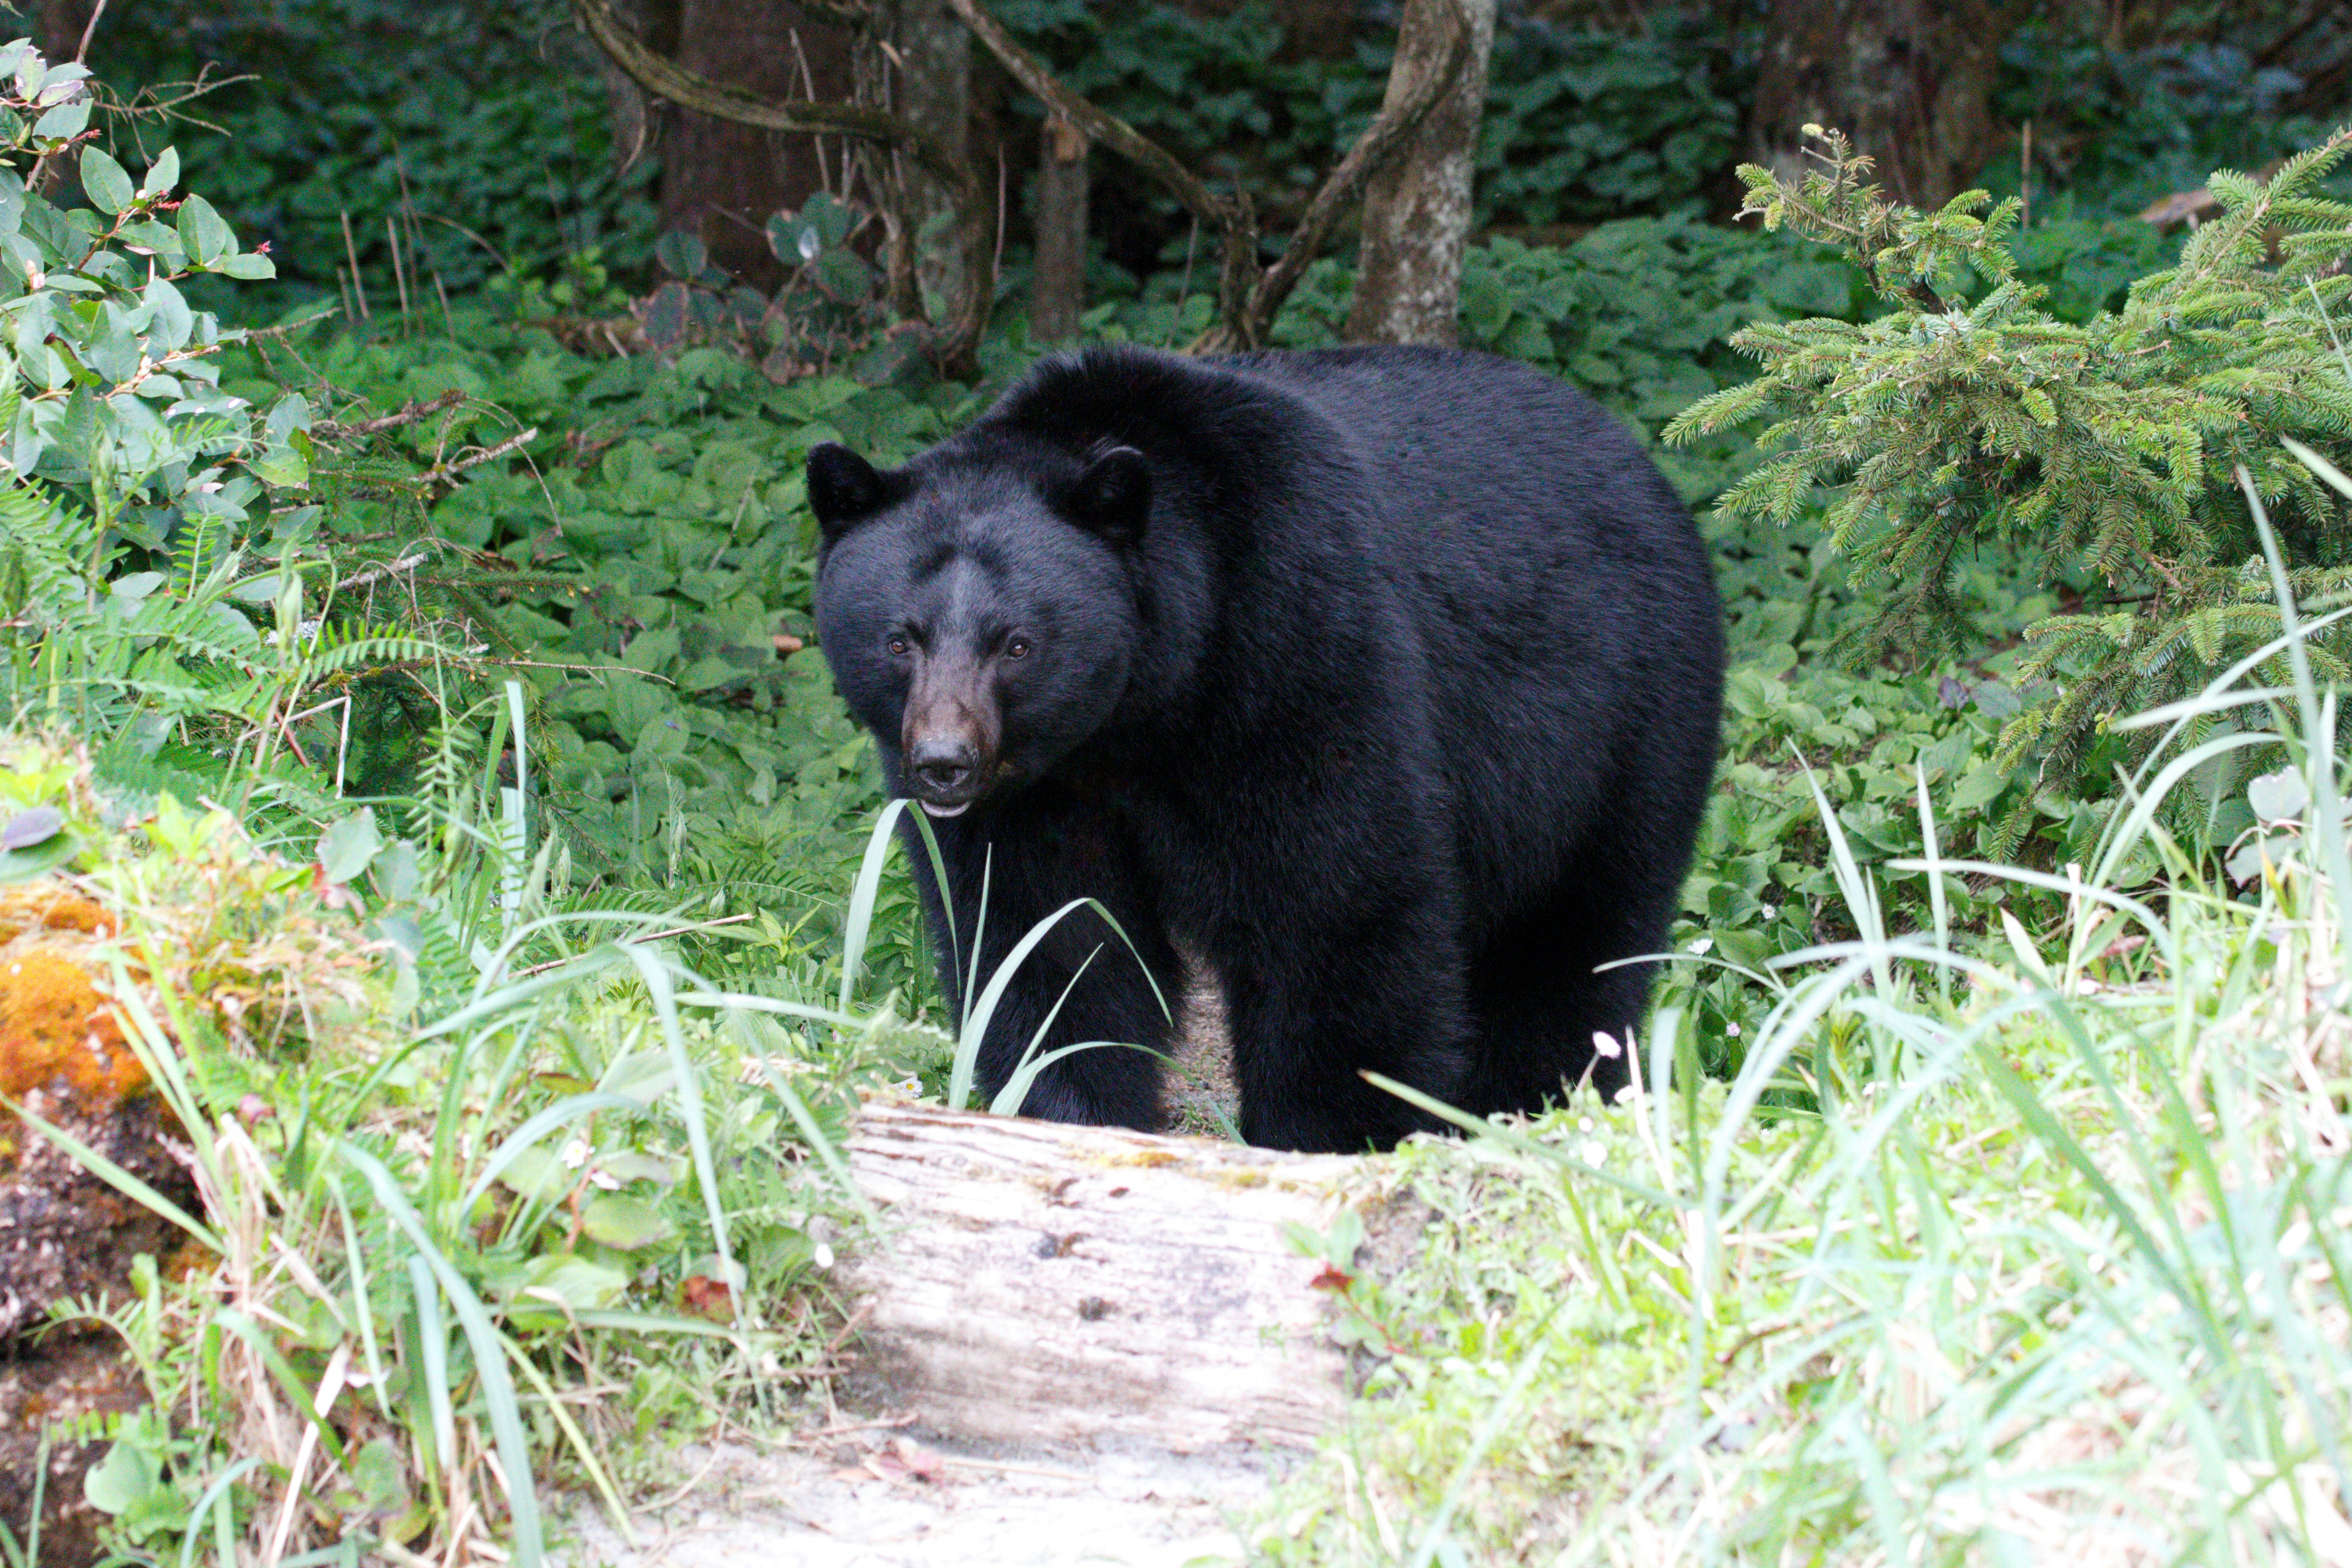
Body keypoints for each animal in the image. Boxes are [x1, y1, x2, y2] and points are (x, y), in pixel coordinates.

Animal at [808, 343, 1723, 1153]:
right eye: (899, 639)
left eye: (1017, 643)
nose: (944, 762)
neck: (1138, 711)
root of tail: (1640, 459)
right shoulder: (1041, 791)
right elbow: (1046, 934)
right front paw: (1065, 1109)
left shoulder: (1293, 643)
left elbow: (1335, 902)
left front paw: (1330, 1133)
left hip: (1620, 714)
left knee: (1575, 935)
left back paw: (1532, 1104)